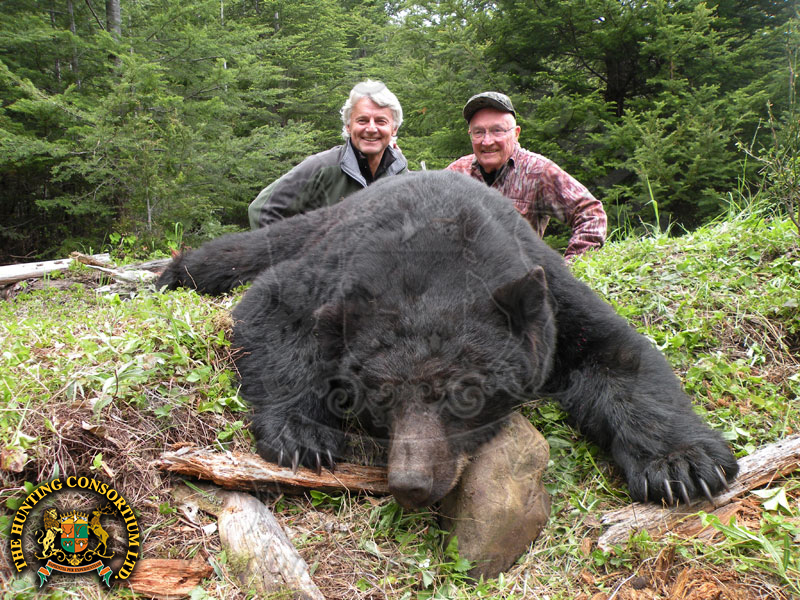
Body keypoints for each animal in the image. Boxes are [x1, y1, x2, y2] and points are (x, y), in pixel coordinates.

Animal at [157, 170, 738, 509]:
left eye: (464, 395)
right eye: (378, 399)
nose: (410, 484)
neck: (439, 241)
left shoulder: (546, 290)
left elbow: (617, 352)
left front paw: (681, 466)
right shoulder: (328, 273)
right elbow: (274, 311)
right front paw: (302, 435)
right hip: (303, 231)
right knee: (237, 252)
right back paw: (170, 273)